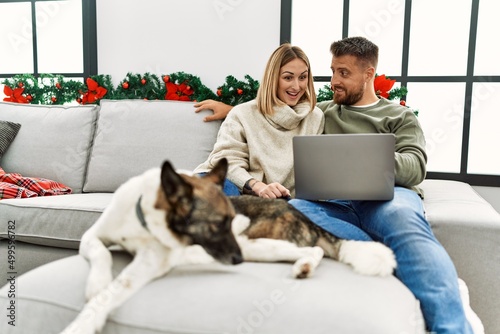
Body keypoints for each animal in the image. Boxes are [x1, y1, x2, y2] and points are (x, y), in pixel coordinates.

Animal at [60, 158, 394, 332]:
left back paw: (304, 266)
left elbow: (112, 293)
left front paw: (85, 321)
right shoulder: (93, 236)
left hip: (259, 245)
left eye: (227, 221)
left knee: (315, 250)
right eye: (218, 224)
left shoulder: (148, 265)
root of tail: (300, 214)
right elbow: (100, 253)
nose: (236, 260)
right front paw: (97, 283)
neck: (144, 218)